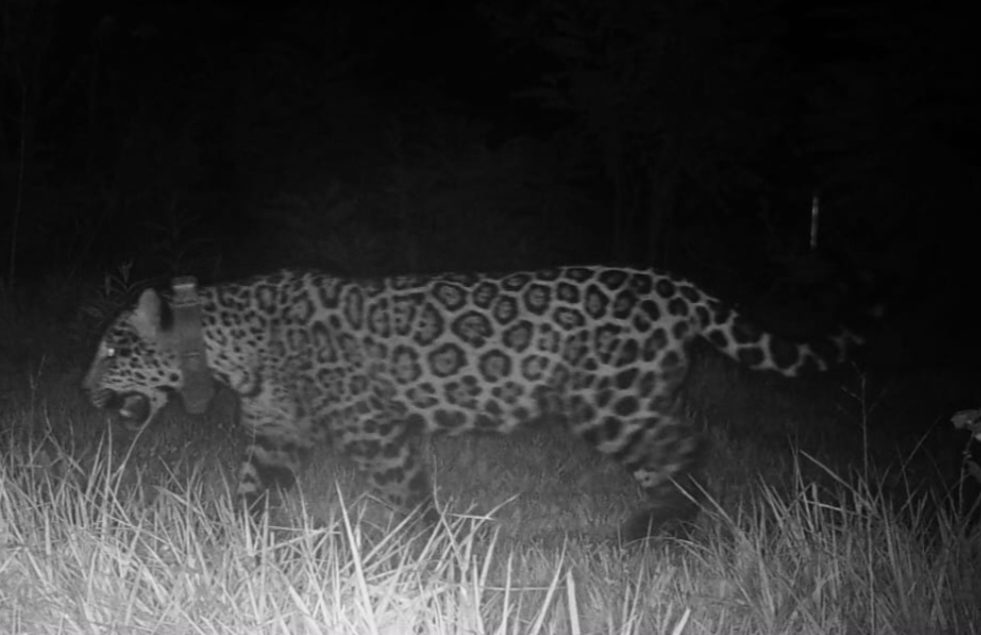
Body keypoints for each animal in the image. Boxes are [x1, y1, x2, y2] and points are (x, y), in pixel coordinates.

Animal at [83, 265, 859, 539]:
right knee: (667, 456)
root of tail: (676, 286)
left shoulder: (379, 430)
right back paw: (656, 528)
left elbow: (407, 494)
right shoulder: (276, 433)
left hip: (609, 401)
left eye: (114, 352)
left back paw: (664, 527)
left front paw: (421, 551)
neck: (225, 346)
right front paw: (236, 545)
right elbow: (250, 489)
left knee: (688, 447)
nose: (85, 391)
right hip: (629, 401)